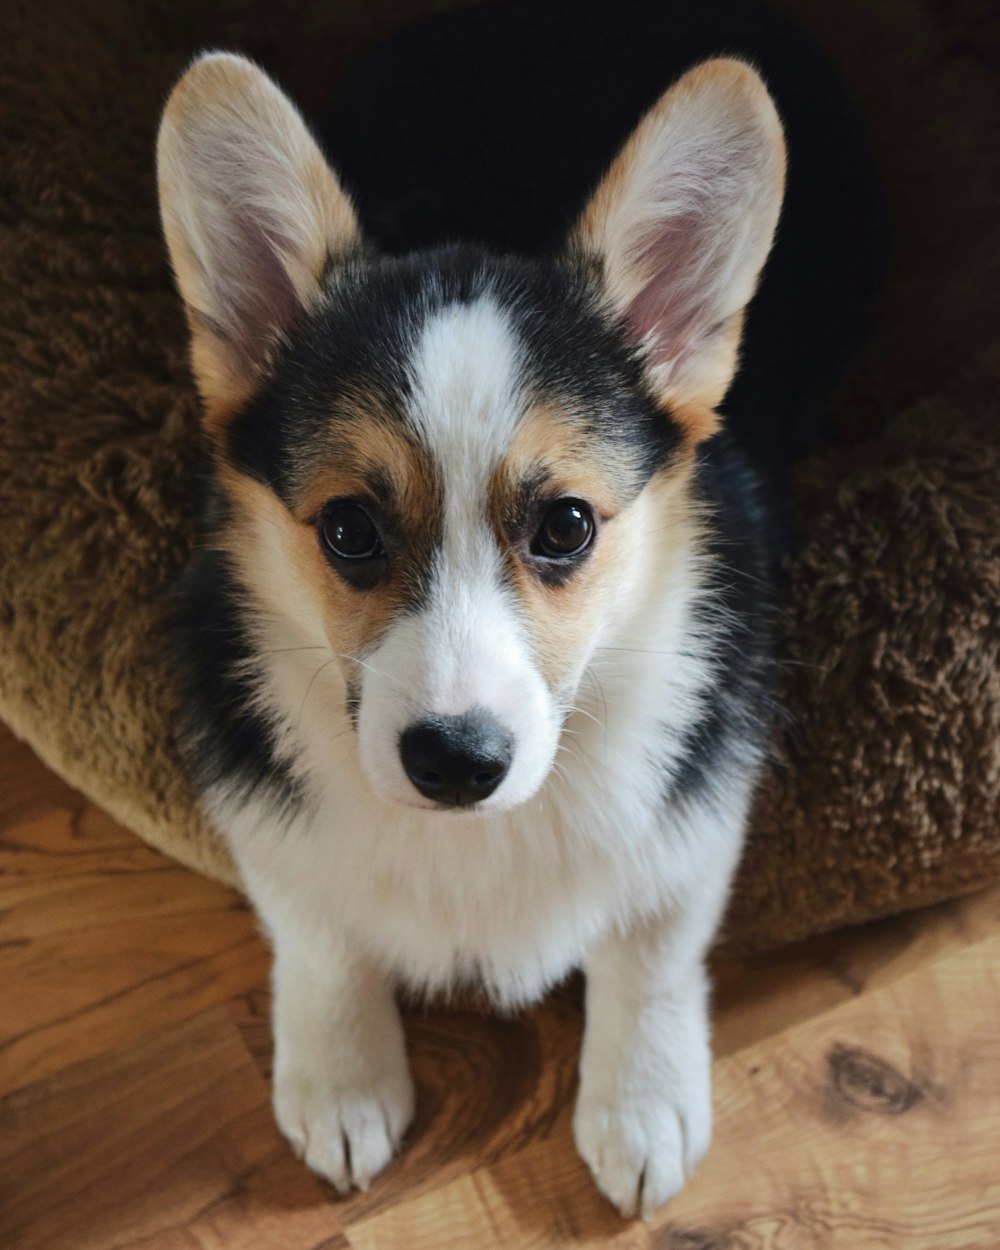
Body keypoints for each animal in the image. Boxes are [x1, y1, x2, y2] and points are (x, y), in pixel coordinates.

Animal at [158, 44, 790, 1215]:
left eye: (567, 525)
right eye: (349, 529)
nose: (455, 761)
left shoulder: (695, 808)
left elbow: (653, 943)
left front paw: (639, 1104)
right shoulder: (269, 817)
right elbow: (317, 929)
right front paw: (341, 1078)